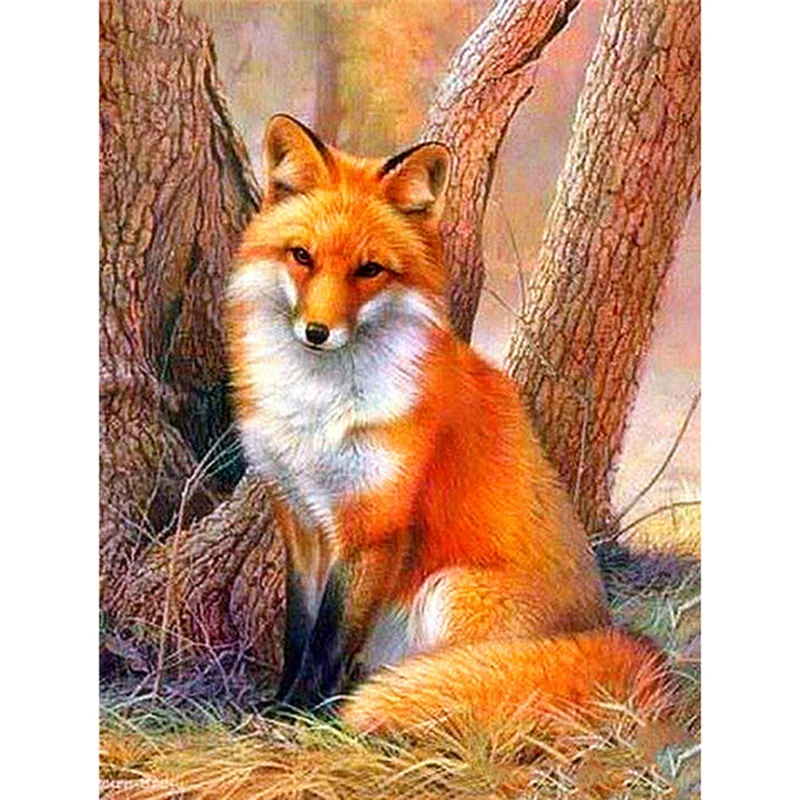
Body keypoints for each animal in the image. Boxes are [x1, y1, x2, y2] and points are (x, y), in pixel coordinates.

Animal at [226, 114, 668, 736]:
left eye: (369, 270)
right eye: (302, 256)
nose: (316, 332)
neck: (317, 409)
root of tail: (608, 630)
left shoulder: (374, 525)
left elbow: (329, 640)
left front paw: (302, 716)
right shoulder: (300, 518)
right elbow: (299, 631)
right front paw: (280, 702)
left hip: (449, 591)